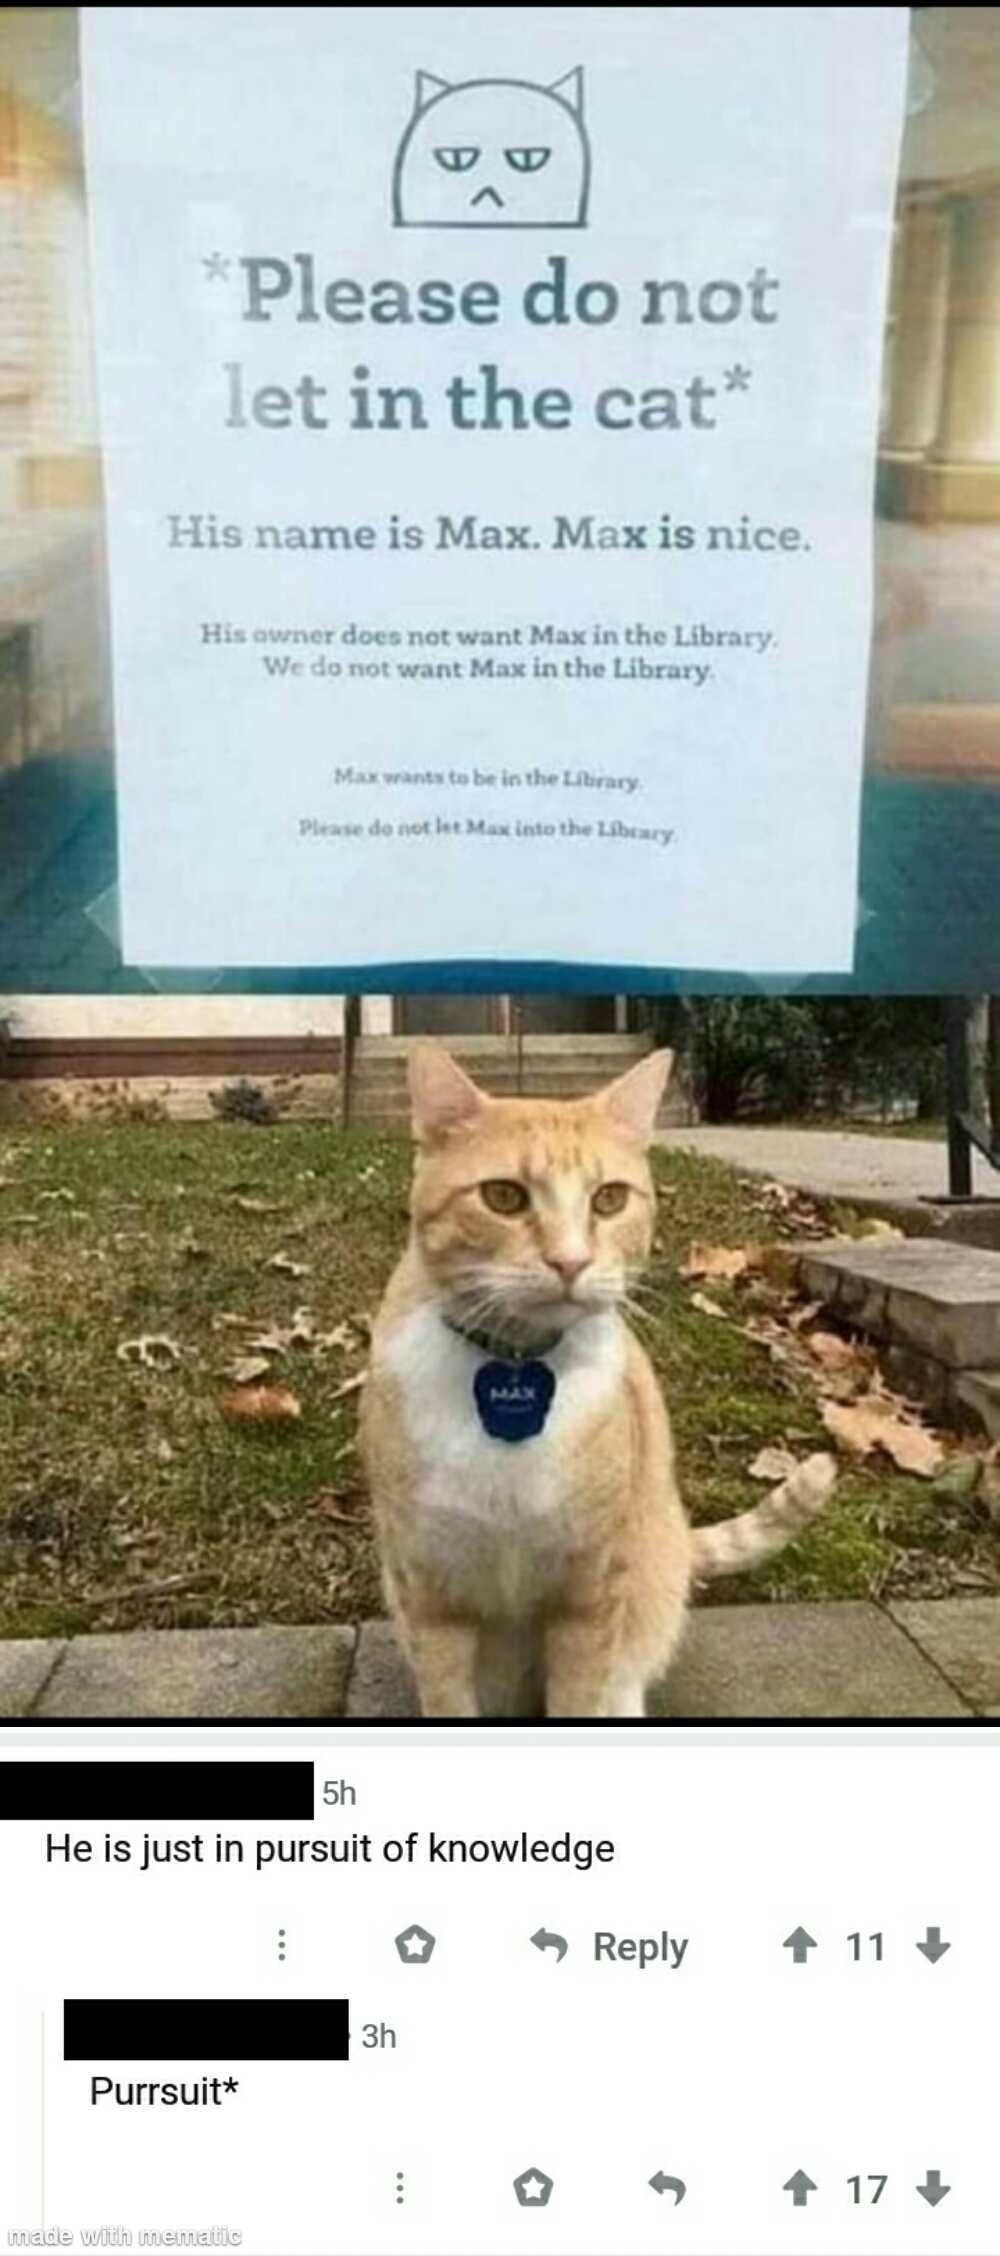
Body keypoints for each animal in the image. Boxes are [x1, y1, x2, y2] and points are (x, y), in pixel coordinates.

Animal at [361, 1042, 839, 1723]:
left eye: (610, 1199)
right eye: (503, 1197)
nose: (570, 1262)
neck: (514, 1366)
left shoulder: (590, 1592)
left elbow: (583, 1689)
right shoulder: (428, 1595)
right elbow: (447, 1693)